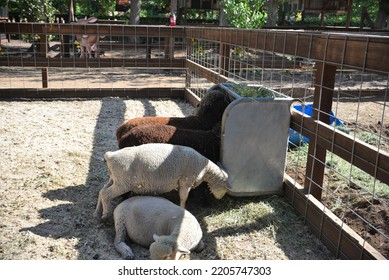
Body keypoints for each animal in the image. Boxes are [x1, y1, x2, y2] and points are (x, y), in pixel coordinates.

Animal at [93, 144, 230, 221]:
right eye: (224, 186)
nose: (220, 198)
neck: (205, 168)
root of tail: (110, 155)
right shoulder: (185, 181)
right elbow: (183, 197)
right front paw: (182, 209)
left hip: (114, 178)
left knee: (101, 191)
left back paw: (97, 212)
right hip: (123, 182)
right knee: (106, 194)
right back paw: (105, 214)